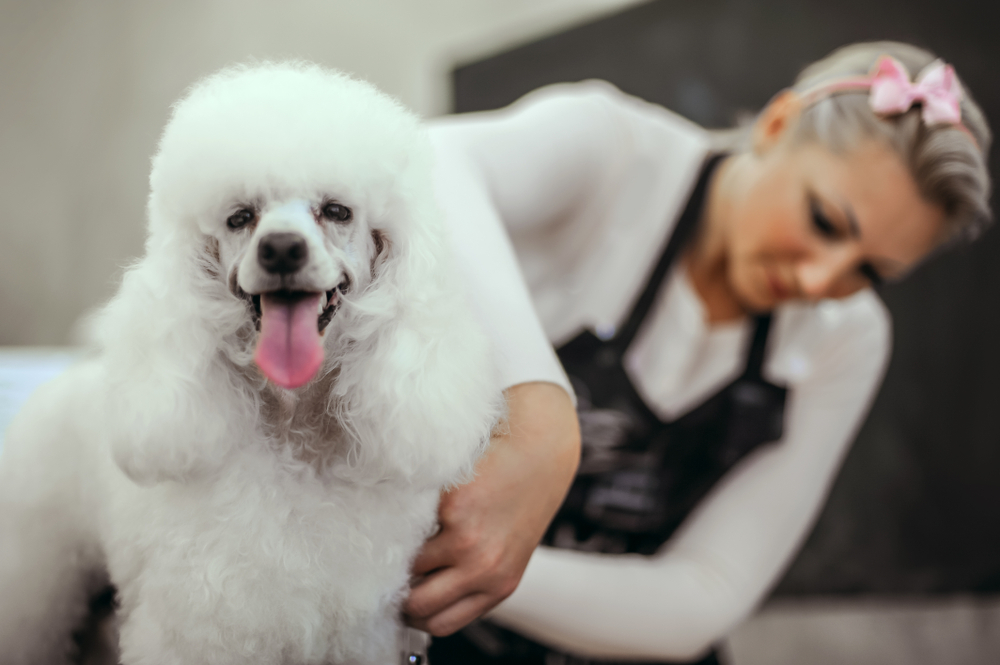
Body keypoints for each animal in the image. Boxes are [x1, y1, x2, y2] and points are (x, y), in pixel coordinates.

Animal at [0, 62, 504, 664]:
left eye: (336, 211)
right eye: (241, 217)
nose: (281, 248)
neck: (294, 435)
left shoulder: (361, 633)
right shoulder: (198, 630)